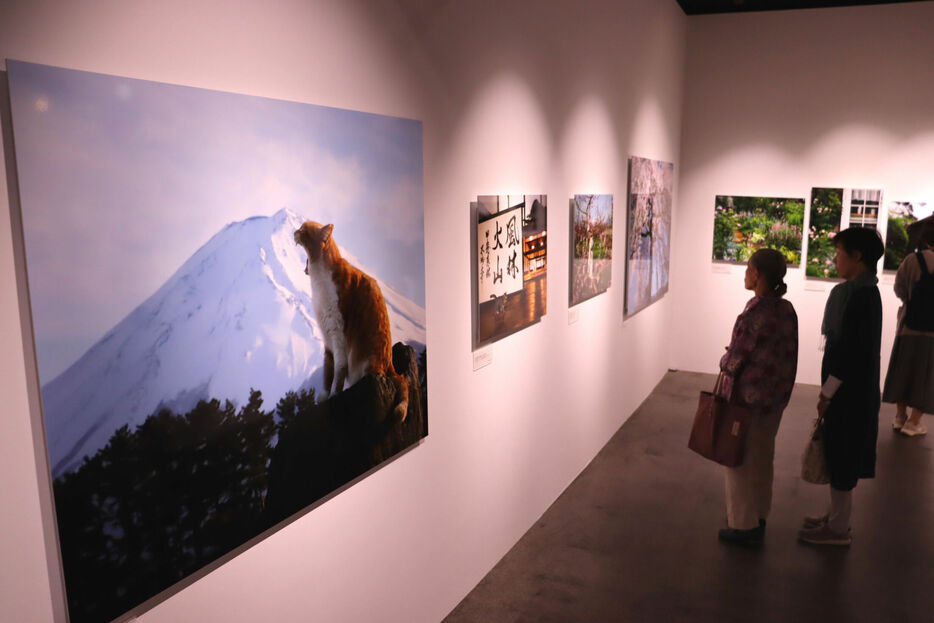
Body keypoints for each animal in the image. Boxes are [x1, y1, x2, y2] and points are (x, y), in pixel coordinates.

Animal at [294, 222, 408, 422]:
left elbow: (339, 368)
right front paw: (325, 395)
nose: (295, 232)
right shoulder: (327, 336)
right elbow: (328, 369)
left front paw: (334, 394)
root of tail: (391, 366)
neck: (318, 280)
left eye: (304, 230)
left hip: (366, 362)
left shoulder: (338, 332)